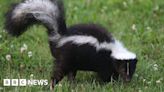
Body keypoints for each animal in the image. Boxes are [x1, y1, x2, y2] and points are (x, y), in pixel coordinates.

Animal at [4, 0, 137, 89]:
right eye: (123, 68)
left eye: (131, 69)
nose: (128, 79)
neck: (112, 49)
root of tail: (60, 36)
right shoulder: (103, 61)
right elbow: (106, 74)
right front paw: (111, 83)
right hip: (66, 56)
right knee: (59, 71)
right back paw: (53, 85)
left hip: (72, 60)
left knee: (71, 72)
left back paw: (72, 84)